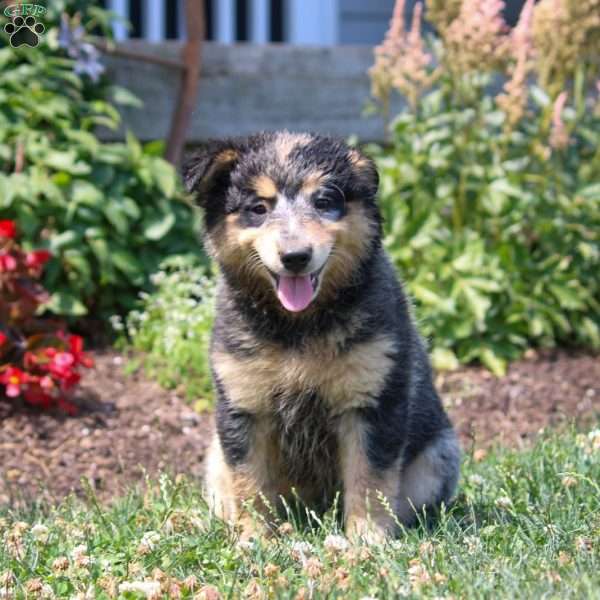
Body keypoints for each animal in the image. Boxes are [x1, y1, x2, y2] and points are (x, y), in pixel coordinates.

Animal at [185, 131, 462, 544]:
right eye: (258, 208)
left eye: (324, 202)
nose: (296, 256)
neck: (298, 328)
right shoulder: (244, 404)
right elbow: (250, 482)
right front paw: (254, 539)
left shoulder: (371, 400)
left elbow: (369, 479)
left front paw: (367, 539)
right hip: (216, 455)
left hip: (437, 457)